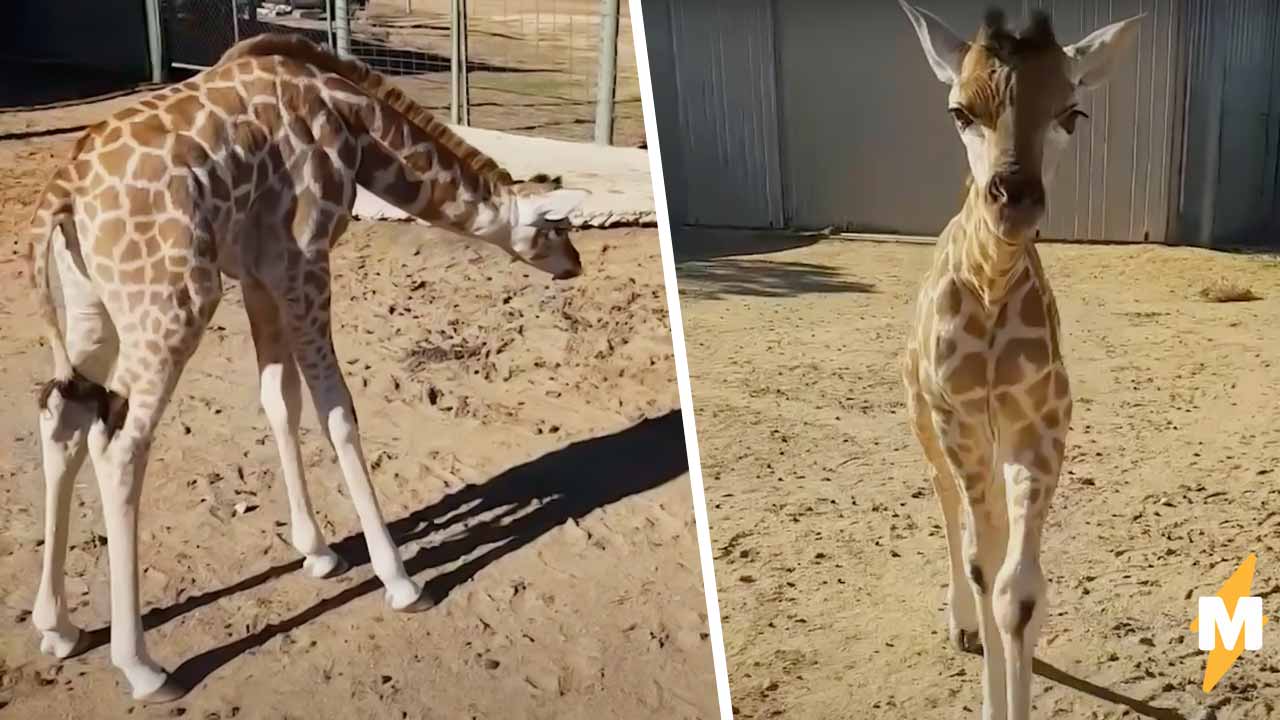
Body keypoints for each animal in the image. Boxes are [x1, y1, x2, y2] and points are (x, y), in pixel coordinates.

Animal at [28, 35, 588, 702]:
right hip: (173, 303)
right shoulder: (305, 261)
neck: (359, 126)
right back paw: (143, 668)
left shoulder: (261, 274)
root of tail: (63, 188)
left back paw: (58, 628)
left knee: (63, 416)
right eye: (557, 226)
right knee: (118, 446)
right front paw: (401, 581)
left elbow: (280, 400)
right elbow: (337, 411)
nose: (576, 265)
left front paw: (318, 553)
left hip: (92, 304)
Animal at [901, 5, 1141, 717]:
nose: (1015, 197)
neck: (991, 280)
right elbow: (985, 564)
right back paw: (959, 624)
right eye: (960, 111)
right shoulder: (958, 420)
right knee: (947, 506)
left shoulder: (1042, 425)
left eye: (1072, 112)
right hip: (922, 417)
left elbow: (1020, 589)